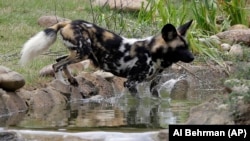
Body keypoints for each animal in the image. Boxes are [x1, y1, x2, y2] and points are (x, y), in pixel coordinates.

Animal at [20, 19, 194, 97]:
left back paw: (72, 81)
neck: (154, 53)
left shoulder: (154, 85)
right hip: (83, 52)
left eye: (187, 46)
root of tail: (67, 22)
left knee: (58, 61)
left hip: (79, 53)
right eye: (181, 47)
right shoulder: (131, 83)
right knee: (57, 65)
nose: (192, 58)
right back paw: (62, 84)